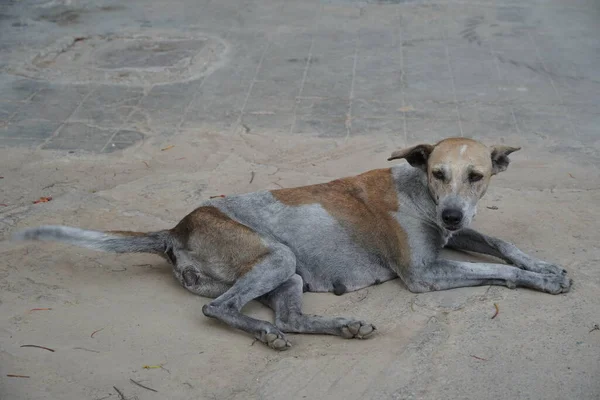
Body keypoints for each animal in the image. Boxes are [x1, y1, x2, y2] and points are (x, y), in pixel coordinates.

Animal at [11, 138, 568, 350]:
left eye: (477, 176)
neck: (419, 191)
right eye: (438, 172)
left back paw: (342, 325)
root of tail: (177, 228)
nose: (451, 213)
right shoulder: (424, 275)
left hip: (290, 271)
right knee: (219, 308)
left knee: (292, 318)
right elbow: (498, 268)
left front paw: (543, 264)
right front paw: (539, 280)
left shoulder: (459, 232)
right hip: (277, 257)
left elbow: (501, 242)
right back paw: (264, 333)